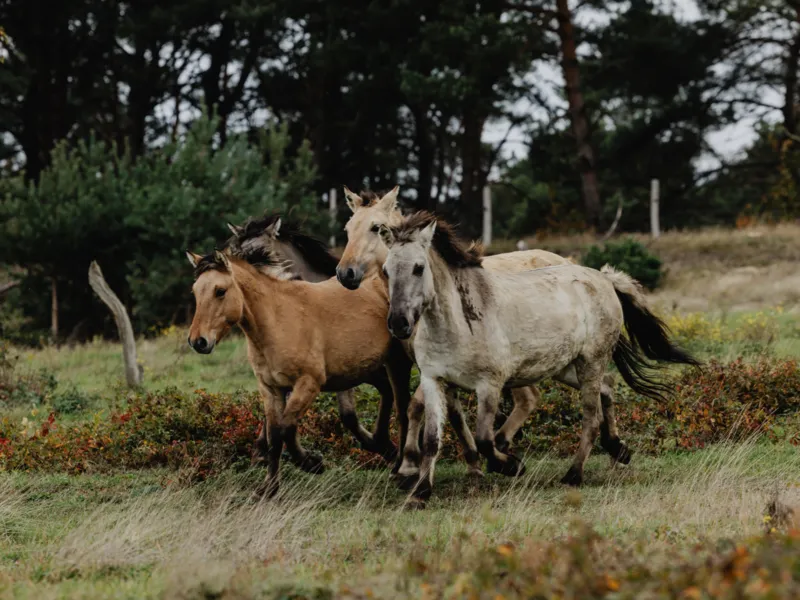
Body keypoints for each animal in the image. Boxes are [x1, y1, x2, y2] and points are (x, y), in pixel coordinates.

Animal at [186, 247, 412, 497]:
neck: (277, 321)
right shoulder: (271, 389)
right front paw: (269, 488)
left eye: (220, 291)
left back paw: (399, 466)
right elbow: (274, 436)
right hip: (361, 369)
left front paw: (311, 462)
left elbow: (286, 428)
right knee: (384, 393)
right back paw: (382, 445)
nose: (198, 341)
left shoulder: (308, 384)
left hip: (396, 362)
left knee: (403, 409)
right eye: (195, 292)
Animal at [334, 187, 631, 481]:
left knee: (537, 398)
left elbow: (416, 406)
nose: (345, 273)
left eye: (375, 227)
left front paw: (411, 463)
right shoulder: (421, 365)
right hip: (561, 363)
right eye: (347, 229)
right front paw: (463, 463)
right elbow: (434, 413)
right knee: (603, 385)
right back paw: (615, 449)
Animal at [379, 211, 700, 504]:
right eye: (386, 270)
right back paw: (618, 449)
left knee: (591, 417)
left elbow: (484, 438)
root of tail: (604, 278)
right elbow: (432, 439)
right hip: (568, 367)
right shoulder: (434, 380)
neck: (457, 323)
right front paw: (420, 492)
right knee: (608, 387)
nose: (398, 324)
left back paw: (573, 475)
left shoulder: (489, 385)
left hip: (591, 362)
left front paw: (511, 465)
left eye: (419, 268)